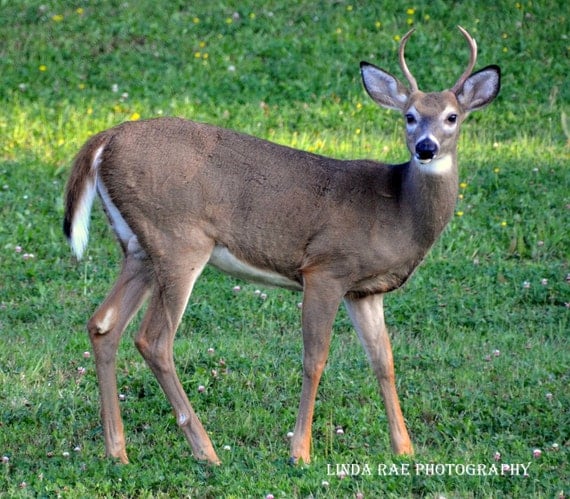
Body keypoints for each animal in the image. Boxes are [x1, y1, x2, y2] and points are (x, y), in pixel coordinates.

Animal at [63, 26, 496, 464]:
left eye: (452, 117)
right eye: (409, 116)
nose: (426, 147)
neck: (397, 209)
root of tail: (105, 140)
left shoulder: (364, 291)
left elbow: (383, 360)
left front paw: (404, 449)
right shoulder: (325, 268)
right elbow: (315, 358)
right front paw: (300, 452)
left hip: (138, 248)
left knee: (103, 324)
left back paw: (117, 451)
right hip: (178, 241)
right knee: (153, 339)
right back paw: (206, 450)